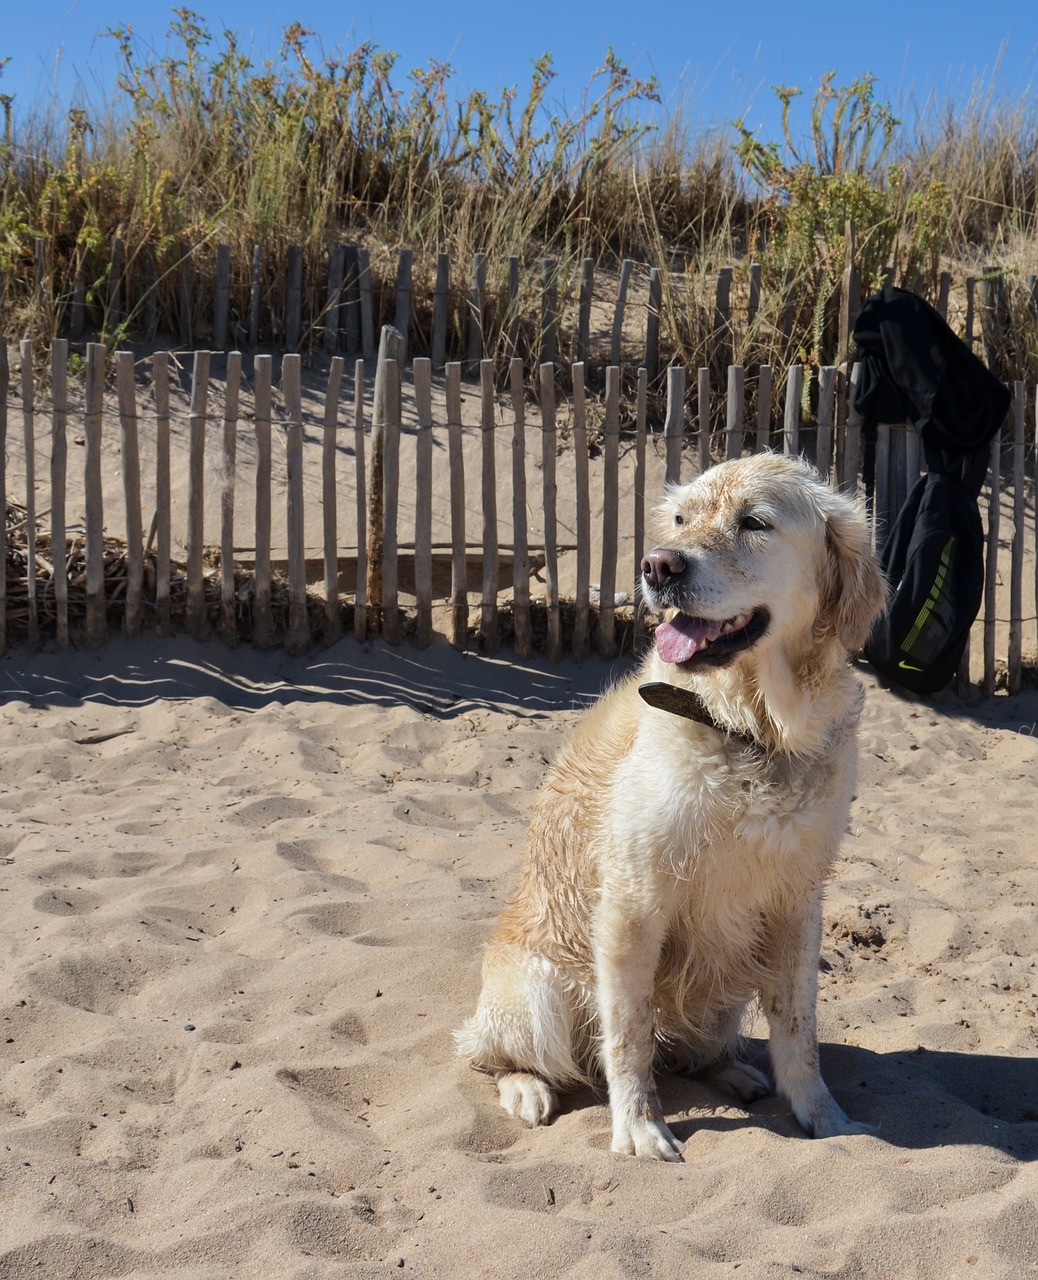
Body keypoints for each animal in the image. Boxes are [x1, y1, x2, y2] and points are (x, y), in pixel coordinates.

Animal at [458, 453, 890, 1162]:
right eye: (683, 519)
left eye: (755, 521)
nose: (657, 565)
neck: (751, 728)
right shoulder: (634, 902)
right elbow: (629, 1035)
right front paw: (638, 1127)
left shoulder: (798, 901)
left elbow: (799, 1031)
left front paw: (822, 1114)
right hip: (540, 991)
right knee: (492, 1053)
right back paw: (527, 1088)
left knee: (696, 1049)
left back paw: (735, 1071)